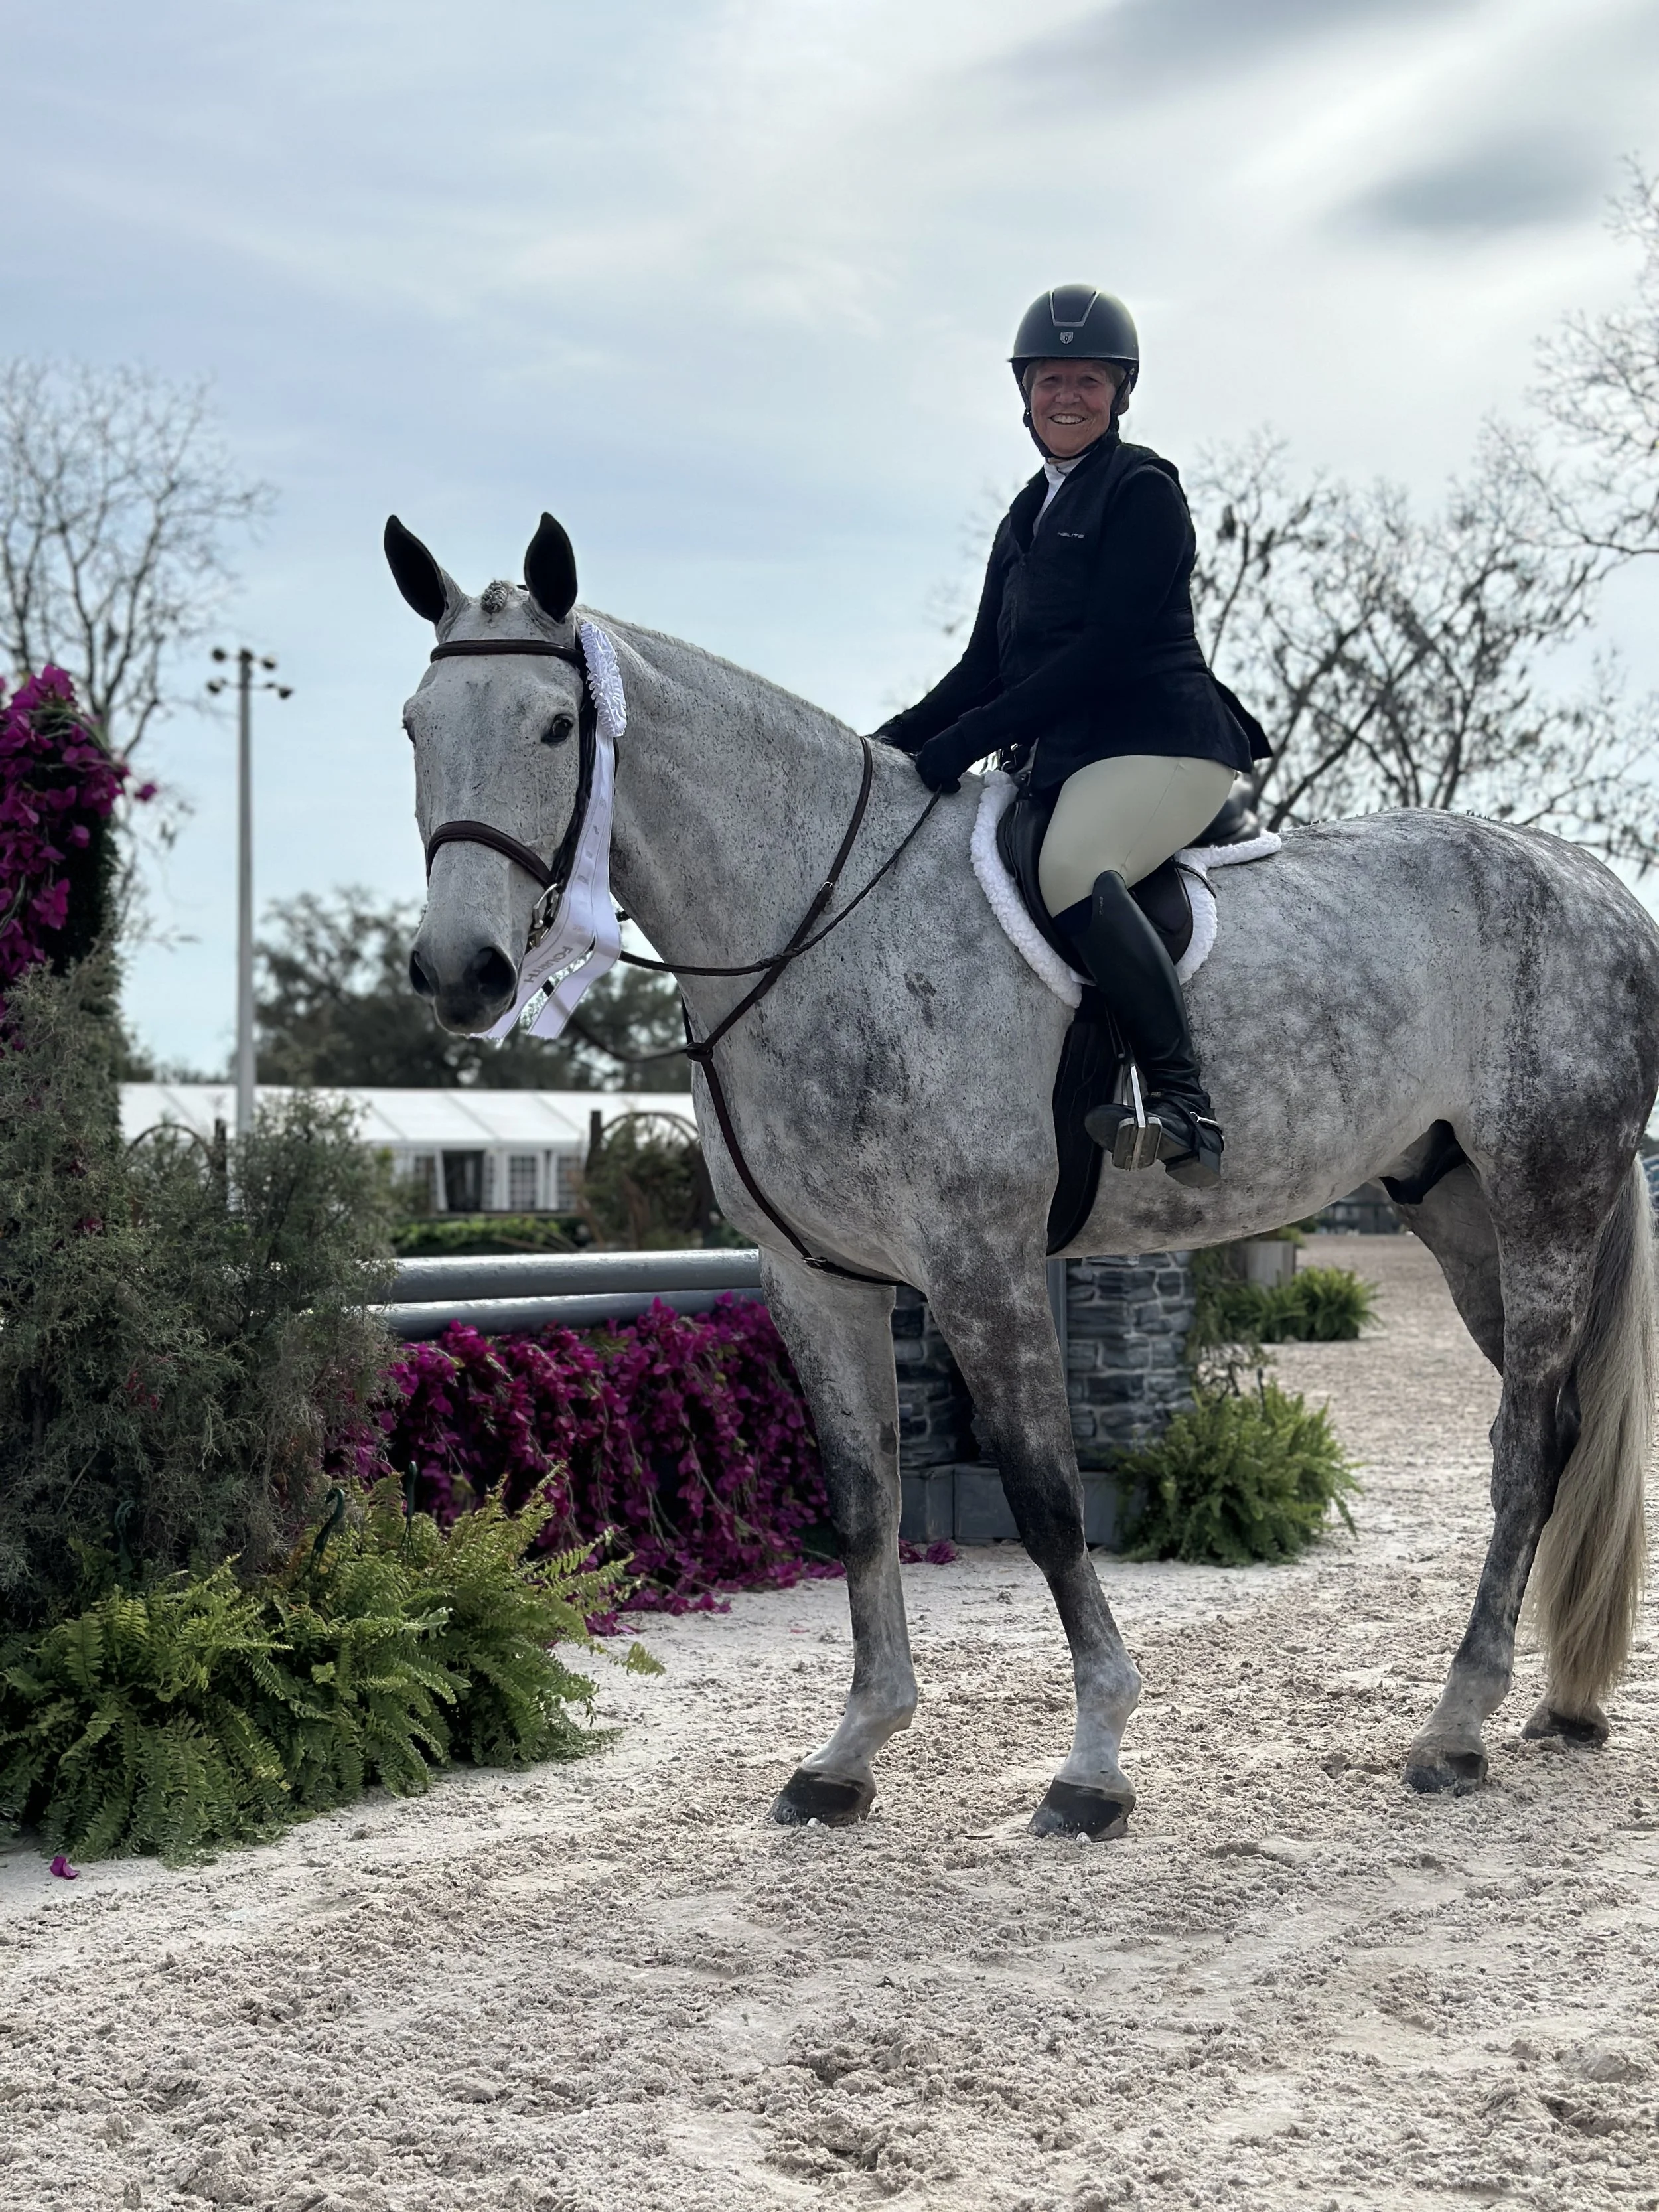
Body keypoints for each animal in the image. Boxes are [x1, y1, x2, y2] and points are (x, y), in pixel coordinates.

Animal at [386, 510, 1659, 1840]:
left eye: (556, 725)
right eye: (415, 726)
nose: (463, 972)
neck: (818, 922)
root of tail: (1599, 885)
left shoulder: (980, 1264)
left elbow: (1047, 1499)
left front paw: (1094, 1760)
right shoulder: (815, 1276)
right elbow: (864, 1500)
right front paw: (849, 1752)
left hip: (1547, 1195)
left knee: (1524, 1443)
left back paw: (1455, 1728)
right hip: (1458, 1211)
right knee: (1561, 1431)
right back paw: (1554, 1706)